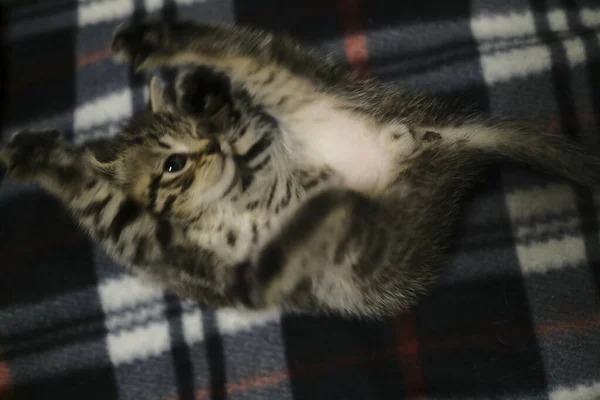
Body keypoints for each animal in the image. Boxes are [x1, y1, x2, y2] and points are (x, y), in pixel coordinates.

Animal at [1, 19, 600, 318]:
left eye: (197, 141)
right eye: (172, 164)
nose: (212, 146)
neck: (225, 199)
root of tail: (431, 142)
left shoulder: (255, 147)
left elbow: (240, 125)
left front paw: (204, 100)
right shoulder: (158, 247)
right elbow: (100, 201)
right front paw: (42, 160)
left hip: (300, 91)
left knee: (250, 54)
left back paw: (164, 46)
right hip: (373, 250)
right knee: (332, 225)